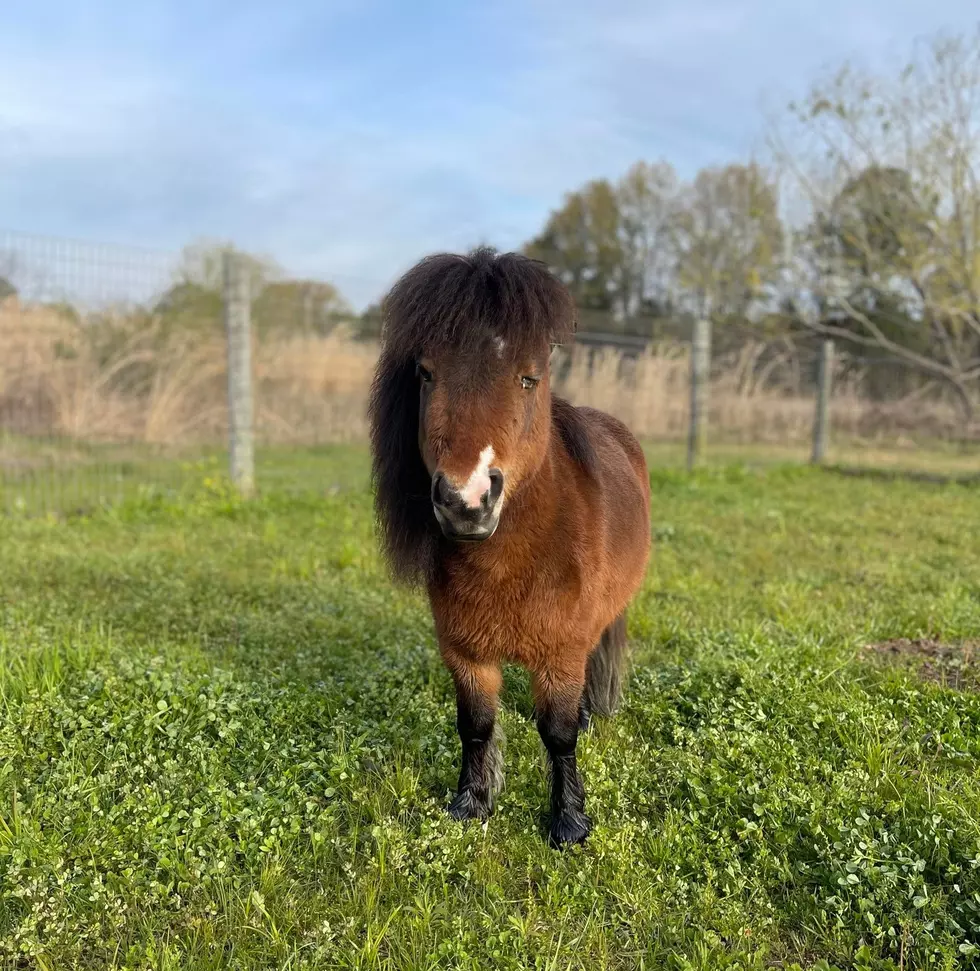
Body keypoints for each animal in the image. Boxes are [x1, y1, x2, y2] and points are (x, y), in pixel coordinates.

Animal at [368, 246, 651, 847]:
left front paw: (568, 822)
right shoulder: (466, 653)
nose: (466, 500)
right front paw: (472, 802)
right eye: (426, 373)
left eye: (528, 378)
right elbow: (475, 725)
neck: (510, 563)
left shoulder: (562, 651)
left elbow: (559, 733)